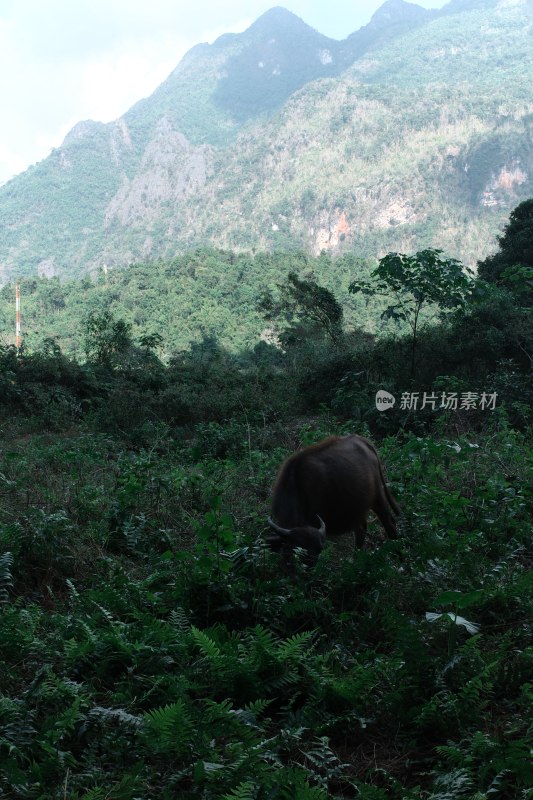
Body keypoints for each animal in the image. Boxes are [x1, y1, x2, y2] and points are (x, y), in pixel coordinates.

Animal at [266, 434, 400, 560]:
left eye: (319, 550)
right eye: (294, 550)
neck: (297, 484)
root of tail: (363, 441)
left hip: (378, 497)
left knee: (389, 524)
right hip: (357, 506)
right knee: (361, 530)